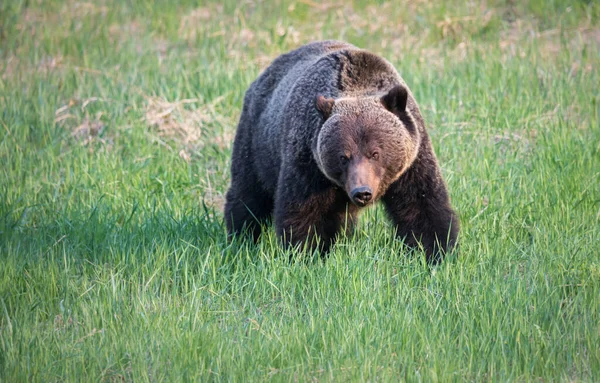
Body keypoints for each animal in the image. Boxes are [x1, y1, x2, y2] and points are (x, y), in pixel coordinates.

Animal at [225, 42, 460, 264]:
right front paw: (306, 254)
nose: (362, 192)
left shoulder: (411, 163)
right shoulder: (308, 164)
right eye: (343, 157)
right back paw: (240, 237)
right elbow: (304, 213)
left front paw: (435, 253)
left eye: (375, 153)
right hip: (257, 142)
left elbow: (422, 206)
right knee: (248, 193)